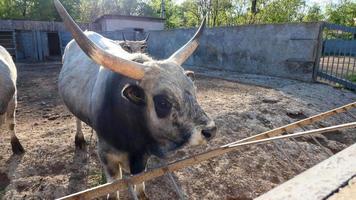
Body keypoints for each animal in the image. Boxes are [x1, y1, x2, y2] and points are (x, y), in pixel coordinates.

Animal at [55, 0, 217, 199]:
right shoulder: (108, 157)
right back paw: (79, 140)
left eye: (194, 90)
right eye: (163, 102)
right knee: (76, 119)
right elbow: (113, 188)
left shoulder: (142, 157)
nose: (210, 130)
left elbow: (140, 187)